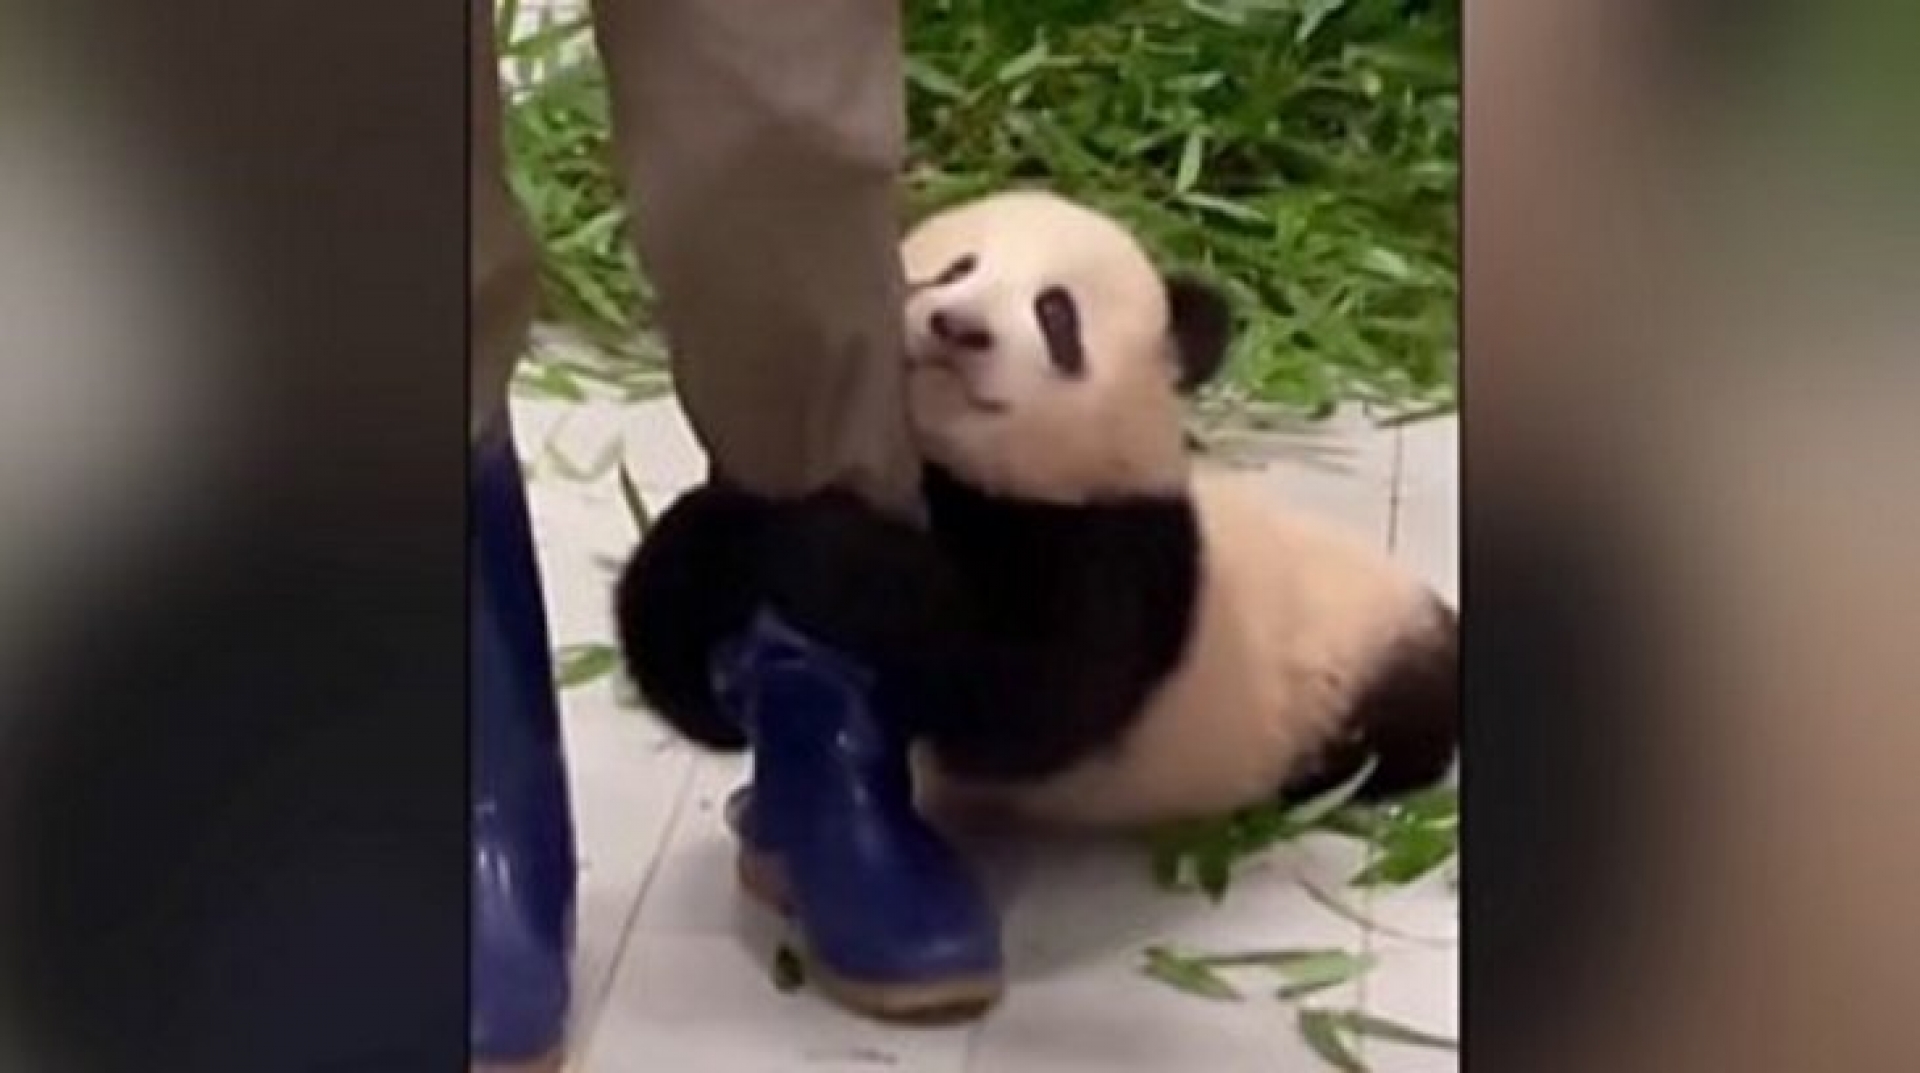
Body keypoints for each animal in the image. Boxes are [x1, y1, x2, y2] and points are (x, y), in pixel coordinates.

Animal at [896, 189, 1459, 830]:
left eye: (1056, 315)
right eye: (956, 268)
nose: (958, 327)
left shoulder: (1113, 557)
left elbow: (1015, 703)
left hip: (1365, 686)